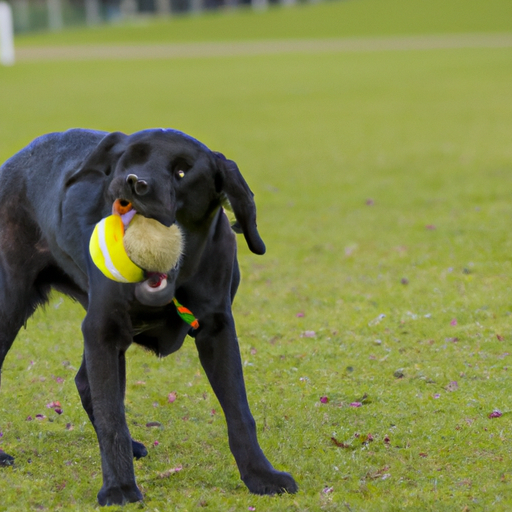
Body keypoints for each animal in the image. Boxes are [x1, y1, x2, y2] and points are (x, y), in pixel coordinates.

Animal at [0, 128, 296, 504]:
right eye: (128, 161)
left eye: (182, 171)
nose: (134, 183)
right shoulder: (102, 331)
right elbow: (112, 417)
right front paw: (119, 488)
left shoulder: (217, 330)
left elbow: (239, 412)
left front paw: (261, 476)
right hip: (9, 306)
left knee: (84, 381)